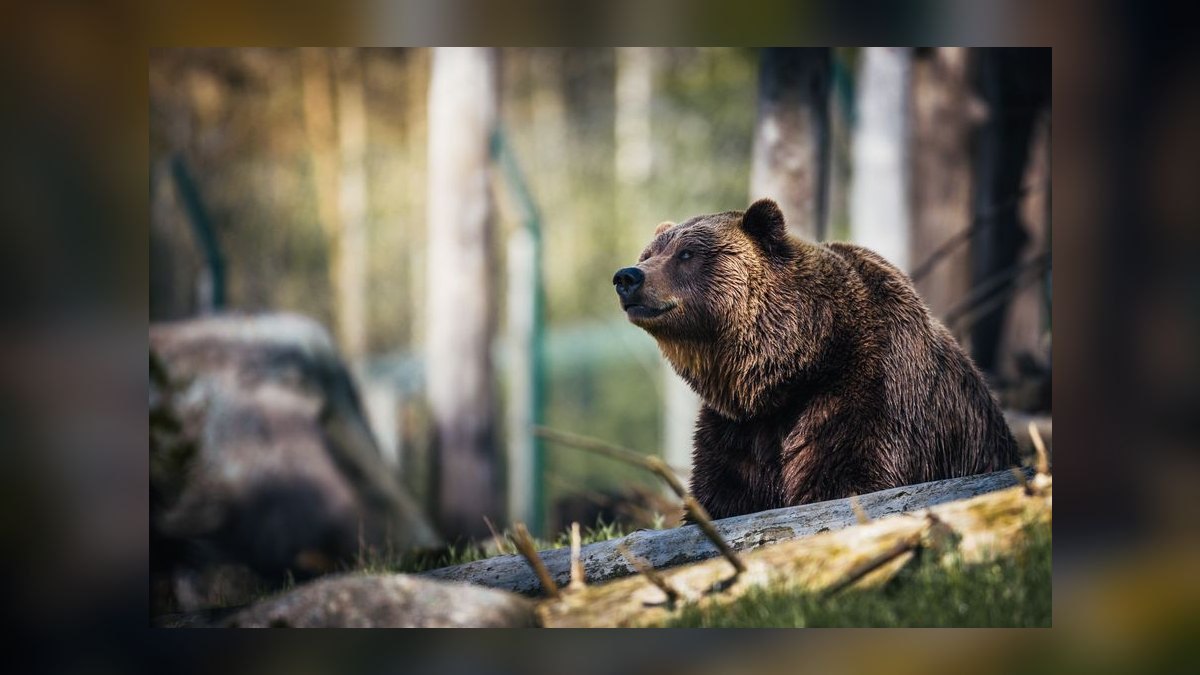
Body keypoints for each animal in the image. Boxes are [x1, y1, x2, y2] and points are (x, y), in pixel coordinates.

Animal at [613, 198, 1019, 520]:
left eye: (687, 254)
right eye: (648, 254)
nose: (627, 277)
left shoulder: (868, 393)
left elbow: (848, 478)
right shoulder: (738, 429)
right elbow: (723, 494)